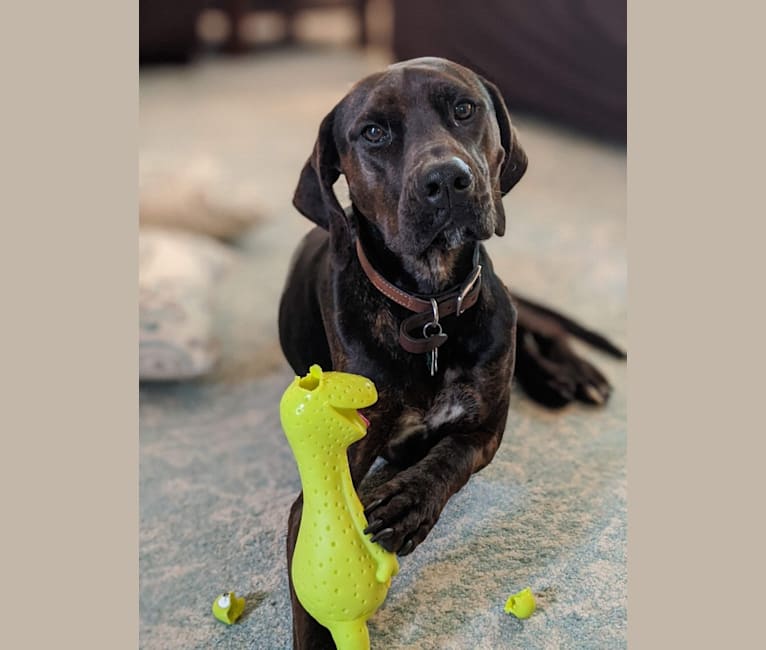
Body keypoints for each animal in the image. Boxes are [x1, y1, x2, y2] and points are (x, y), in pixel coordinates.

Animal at [280, 58, 628, 644]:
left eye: (464, 109)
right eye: (373, 132)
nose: (447, 179)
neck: (429, 308)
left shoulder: (484, 429)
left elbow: (451, 455)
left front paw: (408, 500)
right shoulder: (329, 475)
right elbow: (311, 605)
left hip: (506, 306)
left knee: (536, 329)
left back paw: (574, 375)